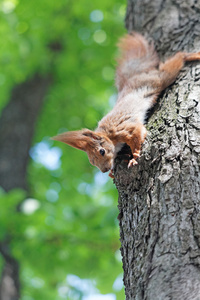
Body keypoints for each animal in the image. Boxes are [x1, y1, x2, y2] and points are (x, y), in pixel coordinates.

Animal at [52, 32, 200, 178]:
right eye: (92, 162)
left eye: (102, 151)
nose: (105, 170)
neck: (108, 135)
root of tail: (133, 78)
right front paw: (112, 172)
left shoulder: (124, 129)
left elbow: (137, 135)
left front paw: (134, 157)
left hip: (159, 79)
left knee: (178, 58)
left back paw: (193, 55)